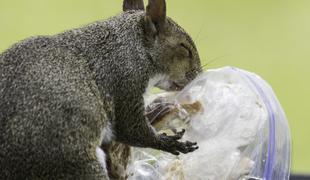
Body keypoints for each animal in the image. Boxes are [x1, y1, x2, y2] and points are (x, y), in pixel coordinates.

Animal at [0, 0, 202, 179]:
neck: (135, 46)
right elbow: (130, 128)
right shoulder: (125, 82)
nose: (199, 76)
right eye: (184, 48)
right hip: (71, 160)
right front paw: (168, 142)